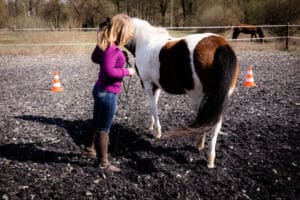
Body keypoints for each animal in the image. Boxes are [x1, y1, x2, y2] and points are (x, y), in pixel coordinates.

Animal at [124, 17, 239, 169]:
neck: (144, 41)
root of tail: (221, 44)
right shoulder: (156, 86)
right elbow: (153, 105)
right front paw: (150, 125)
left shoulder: (147, 84)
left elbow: (153, 107)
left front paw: (157, 132)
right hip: (220, 98)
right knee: (215, 124)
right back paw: (210, 157)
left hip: (199, 98)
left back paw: (201, 145)